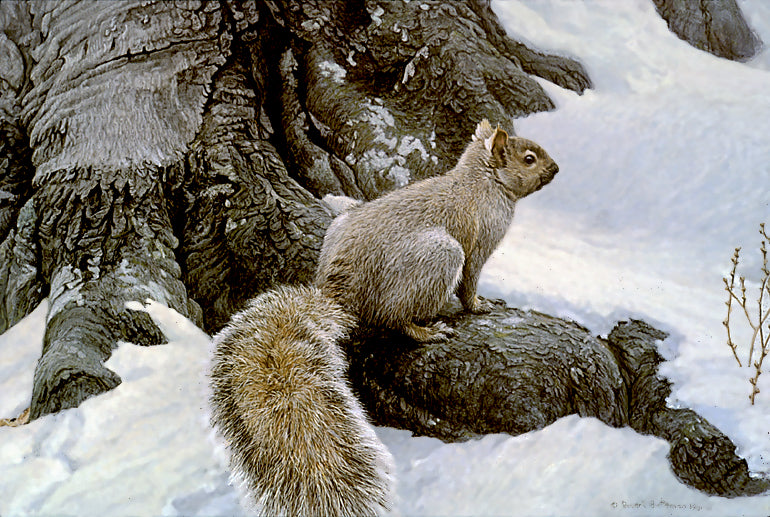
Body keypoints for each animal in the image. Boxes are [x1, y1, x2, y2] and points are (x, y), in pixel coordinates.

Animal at [209, 119, 559, 516]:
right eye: (529, 158)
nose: (556, 168)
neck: (481, 181)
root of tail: (338, 295)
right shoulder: (478, 243)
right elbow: (469, 284)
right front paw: (481, 305)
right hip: (439, 256)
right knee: (397, 320)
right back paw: (427, 330)